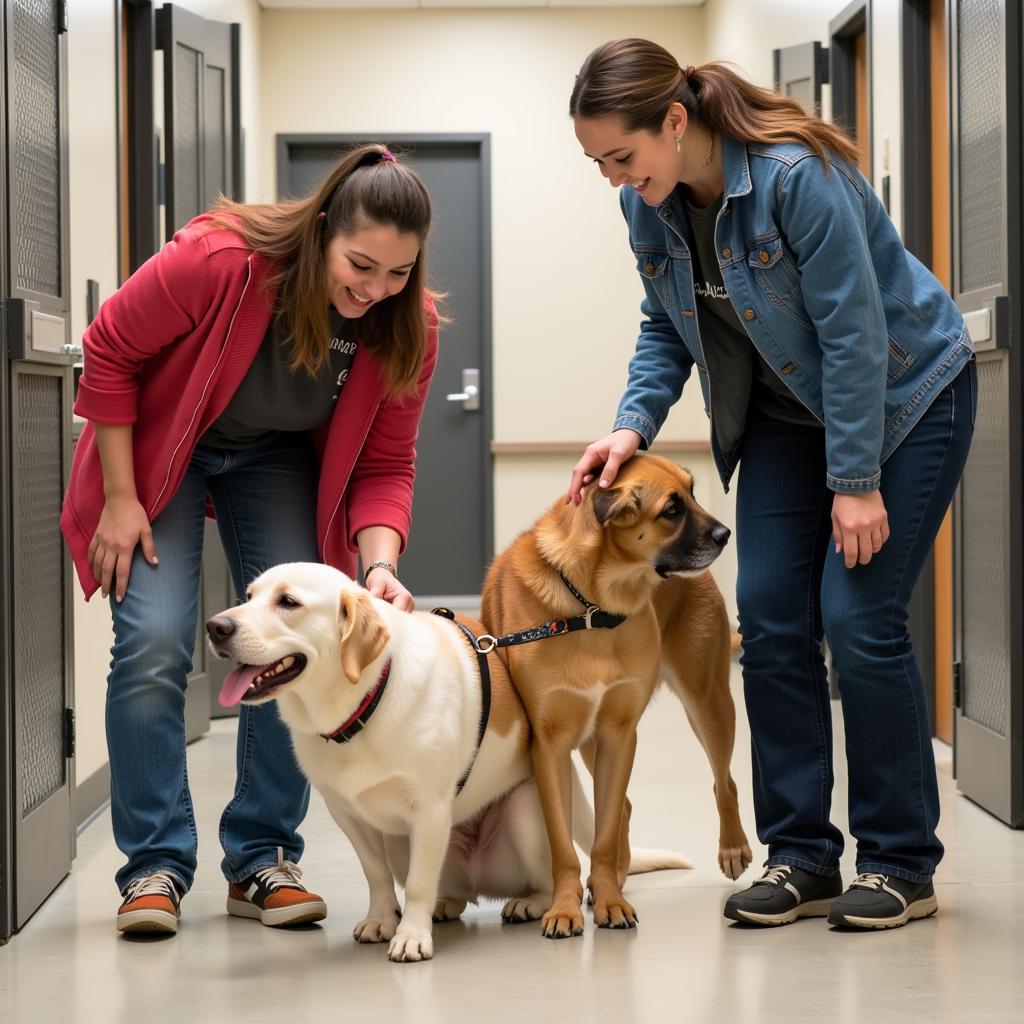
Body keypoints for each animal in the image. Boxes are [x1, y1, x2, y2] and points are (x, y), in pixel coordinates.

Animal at [479, 454, 753, 937]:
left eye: (694, 491)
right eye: (672, 509)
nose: (725, 535)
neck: (590, 607)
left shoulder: (619, 735)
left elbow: (603, 835)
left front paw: (609, 900)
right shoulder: (551, 746)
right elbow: (564, 843)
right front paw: (565, 907)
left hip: (708, 701)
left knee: (725, 781)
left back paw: (732, 846)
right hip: (590, 743)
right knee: (624, 804)